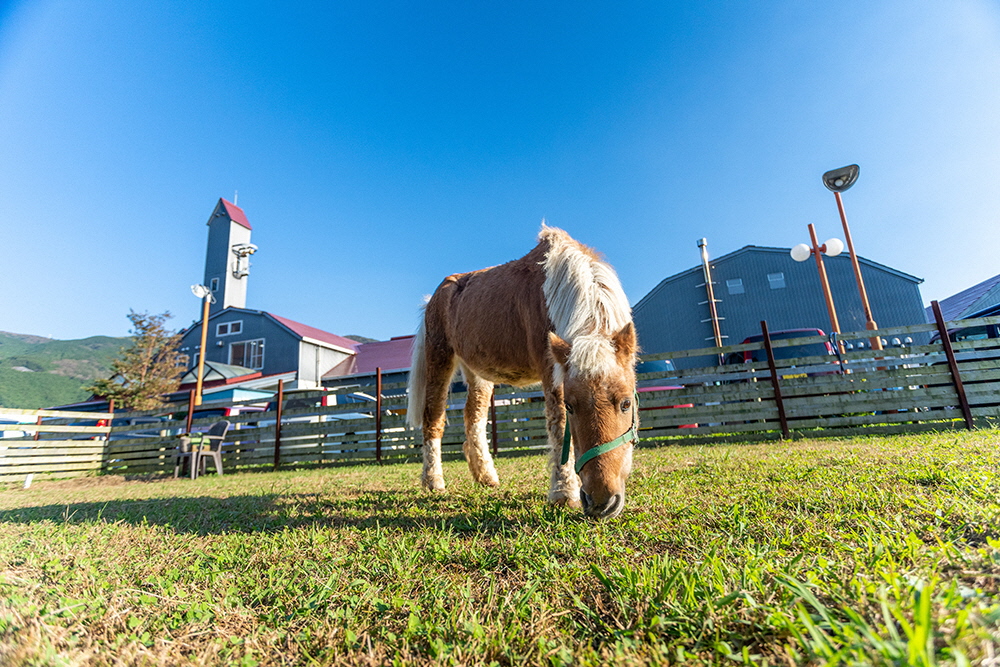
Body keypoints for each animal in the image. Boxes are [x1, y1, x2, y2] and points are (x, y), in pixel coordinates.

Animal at [408, 227, 636, 520]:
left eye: (626, 403)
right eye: (571, 406)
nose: (601, 502)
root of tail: (435, 297)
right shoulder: (551, 371)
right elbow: (558, 426)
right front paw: (563, 493)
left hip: (478, 373)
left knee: (474, 419)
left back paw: (486, 476)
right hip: (439, 358)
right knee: (433, 419)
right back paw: (433, 480)